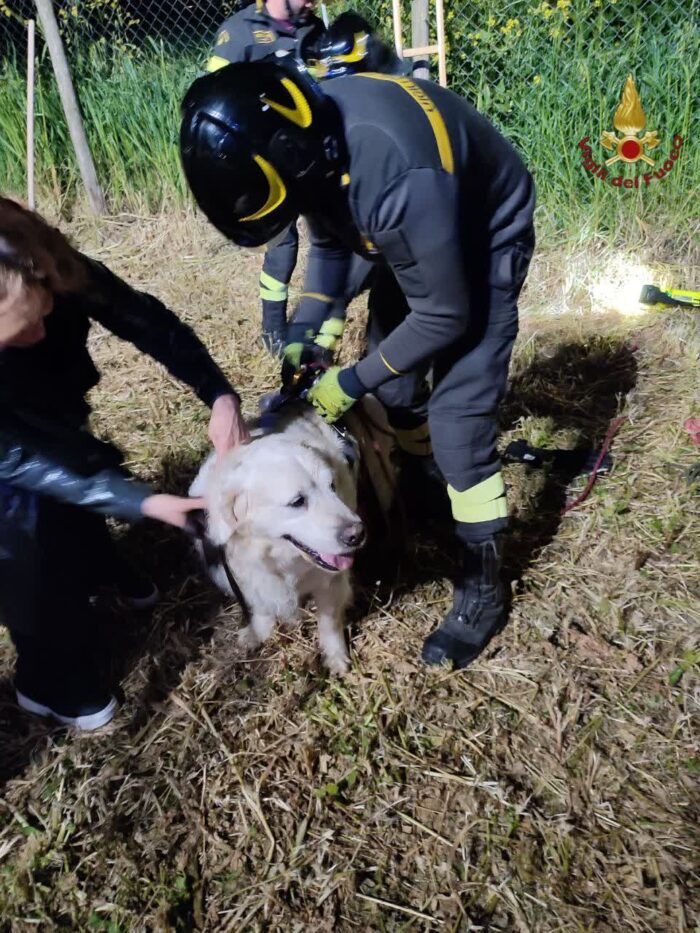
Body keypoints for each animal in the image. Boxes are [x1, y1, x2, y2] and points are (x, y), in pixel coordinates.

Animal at [191, 404, 366, 672]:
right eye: (297, 501)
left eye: (332, 487)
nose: (357, 535)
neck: (280, 561)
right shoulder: (247, 578)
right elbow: (262, 609)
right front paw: (258, 634)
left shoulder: (331, 582)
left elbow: (329, 623)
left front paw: (336, 657)